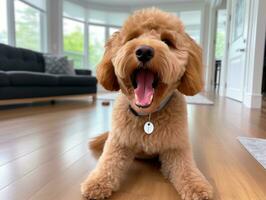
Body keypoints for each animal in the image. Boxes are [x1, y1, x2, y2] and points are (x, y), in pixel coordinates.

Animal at [80, 7, 213, 200]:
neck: (148, 115)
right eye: (132, 38)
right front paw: (96, 183)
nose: (144, 51)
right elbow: (108, 163)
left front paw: (198, 187)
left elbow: (186, 168)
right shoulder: (118, 143)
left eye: (167, 41)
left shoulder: (176, 148)